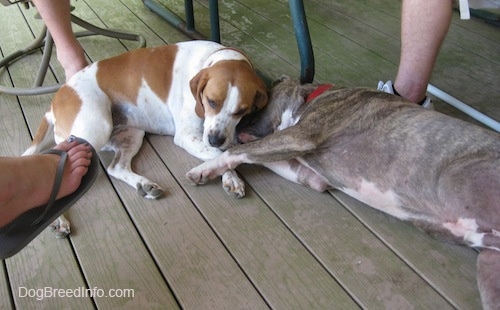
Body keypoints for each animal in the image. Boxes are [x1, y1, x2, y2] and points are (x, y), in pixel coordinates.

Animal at [25, 40, 268, 236]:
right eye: (211, 101)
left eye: (241, 111)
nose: (216, 139)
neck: (211, 58)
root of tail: (56, 100)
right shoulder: (187, 136)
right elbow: (220, 154)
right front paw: (231, 177)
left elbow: (225, 152)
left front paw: (226, 175)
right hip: (93, 131)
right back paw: (57, 220)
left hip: (132, 134)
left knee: (116, 168)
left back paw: (145, 185)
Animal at [188, 75, 500, 310]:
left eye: (252, 109)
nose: (231, 130)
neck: (315, 96)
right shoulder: (310, 175)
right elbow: (250, 155)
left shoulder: (298, 137)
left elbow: (240, 151)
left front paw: (206, 168)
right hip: (490, 269)